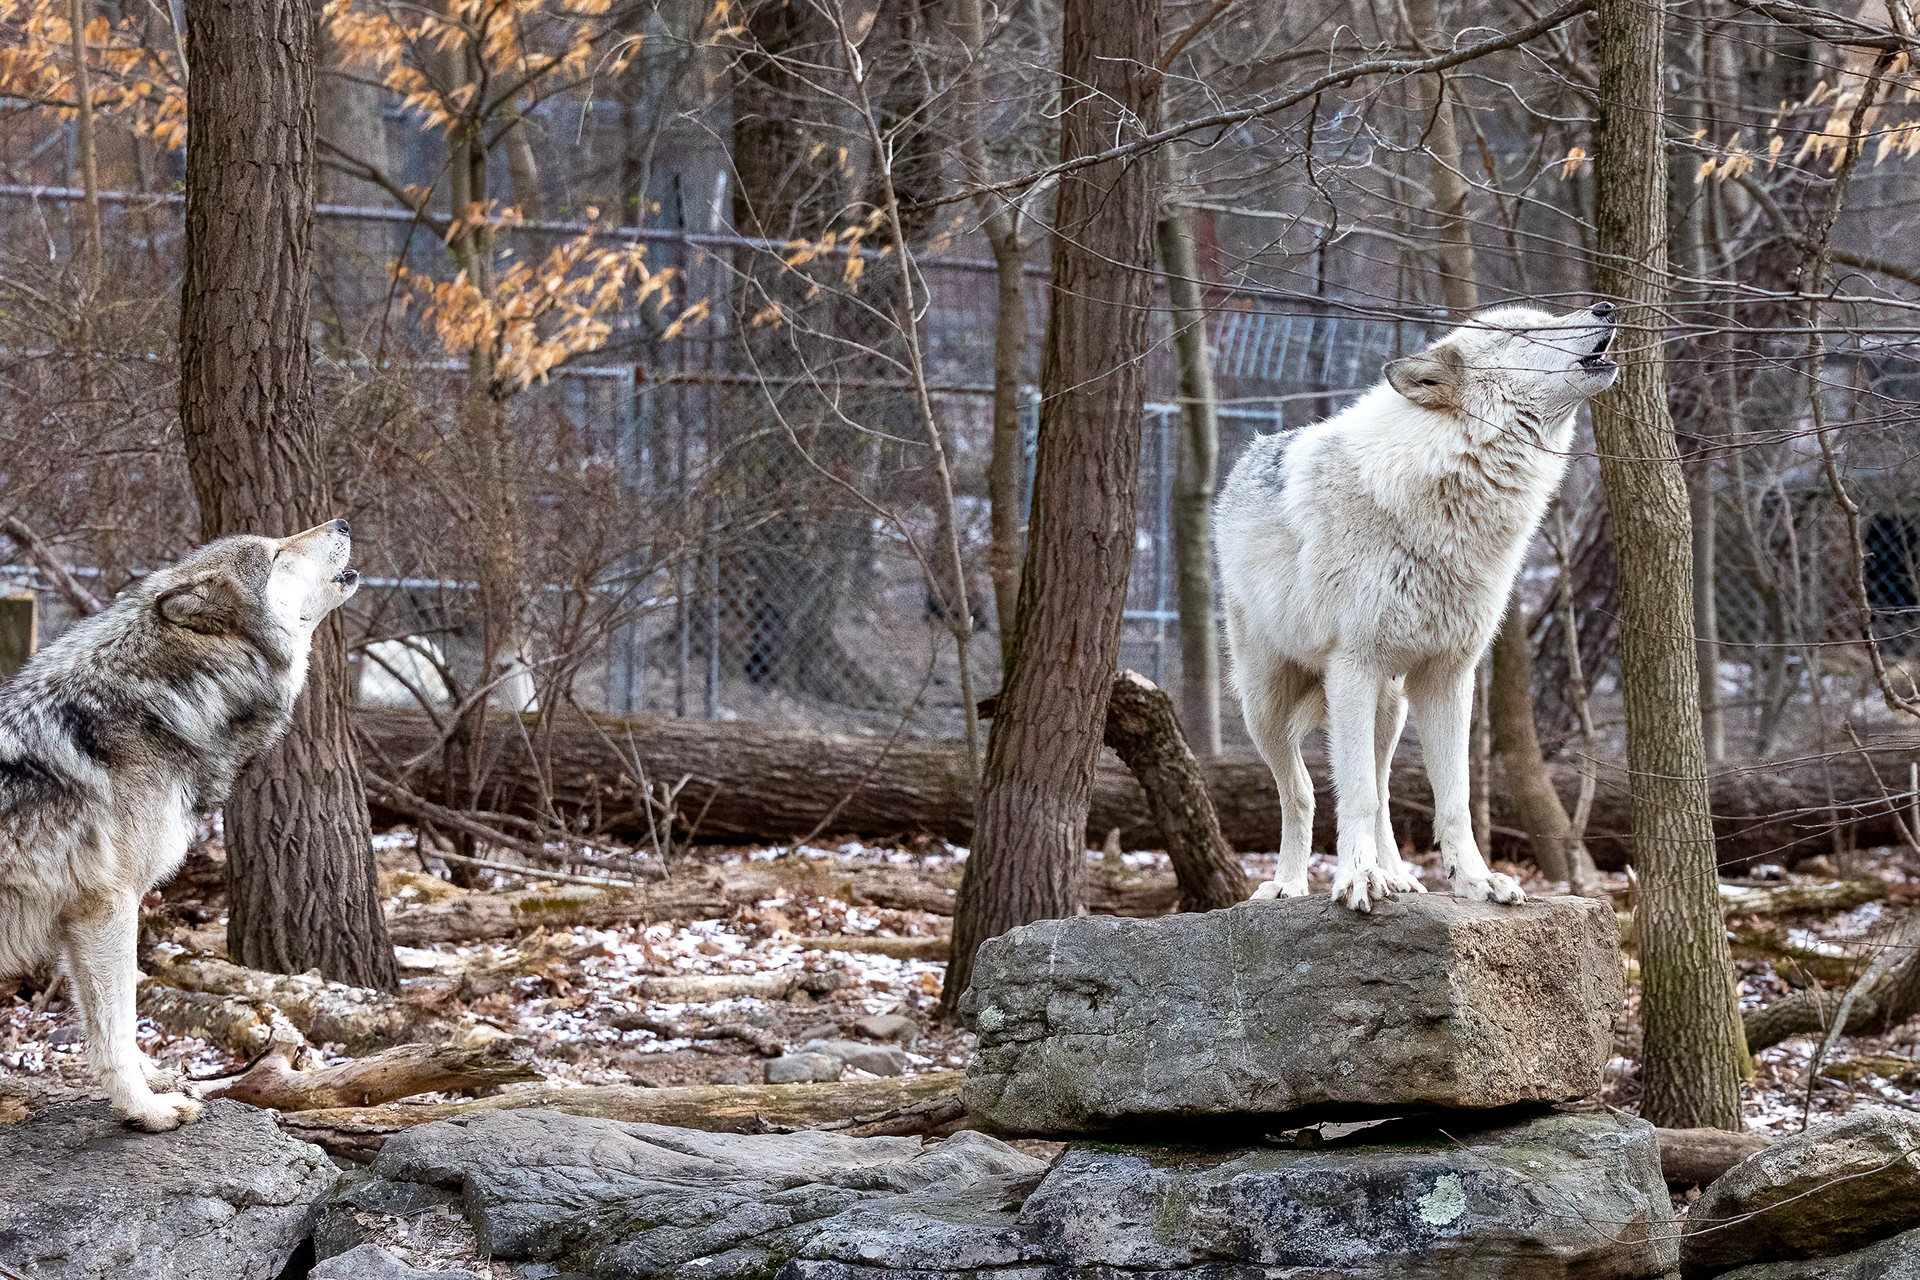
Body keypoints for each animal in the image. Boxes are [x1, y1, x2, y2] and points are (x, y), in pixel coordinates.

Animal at [0, 520, 358, 1130]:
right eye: (275, 554)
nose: (343, 523)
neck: (156, 708)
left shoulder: (79, 917)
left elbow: (105, 1025)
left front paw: (154, 1082)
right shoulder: (108, 906)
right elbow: (118, 1027)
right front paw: (147, 1110)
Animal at [1217, 303, 1616, 912]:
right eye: (1523, 332)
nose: (1606, 307)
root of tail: (1246, 455)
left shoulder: (1450, 676)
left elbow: (1452, 798)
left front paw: (1477, 881)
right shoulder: (1352, 668)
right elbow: (1354, 794)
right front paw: (1356, 880)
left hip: (1391, 707)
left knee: (1383, 789)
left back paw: (1399, 876)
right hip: (1266, 706)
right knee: (1305, 791)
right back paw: (1288, 884)